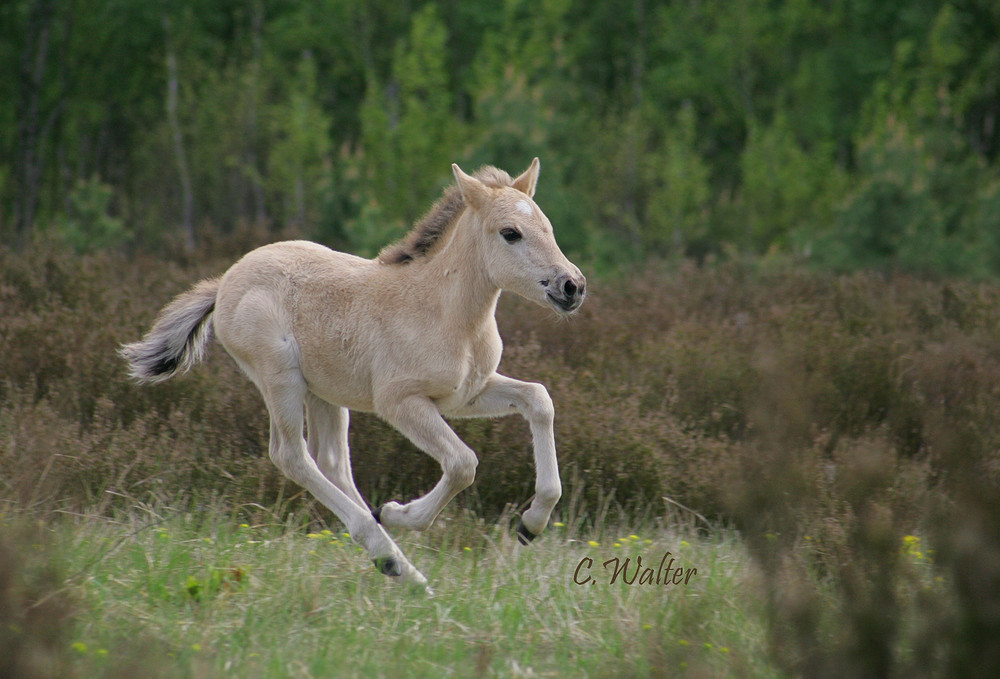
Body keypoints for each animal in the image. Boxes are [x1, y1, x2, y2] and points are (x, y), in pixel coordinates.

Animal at [122, 158, 584, 588]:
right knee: (292, 455)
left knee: (331, 462)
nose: (572, 286)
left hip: (323, 392)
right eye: (511, 233)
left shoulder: (464, 394)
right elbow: (462, 463)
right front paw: (399, 512)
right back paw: (388, 553)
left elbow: (539, 399)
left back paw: (402, 565)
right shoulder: (399, 403)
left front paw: (530, 525)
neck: (444, 311)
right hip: (280, 378)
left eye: (547, 226)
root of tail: (223, 283)